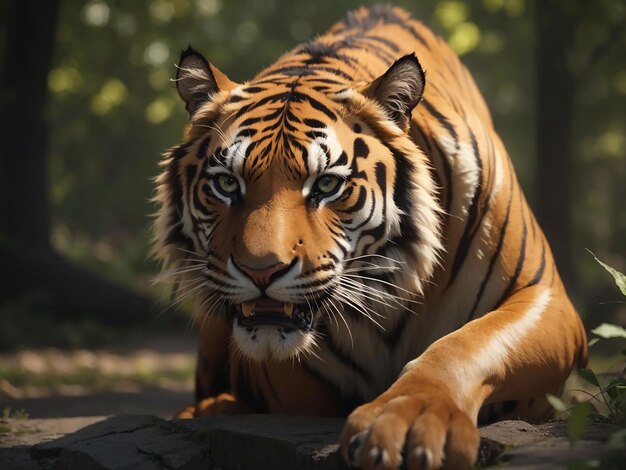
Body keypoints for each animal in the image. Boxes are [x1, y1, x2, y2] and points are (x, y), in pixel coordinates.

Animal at [151, 4, 584, 470]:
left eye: (326, 184)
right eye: (227, 184)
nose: (260, 271)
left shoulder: (545, 296)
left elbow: (466, 345)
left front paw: (410, 420)